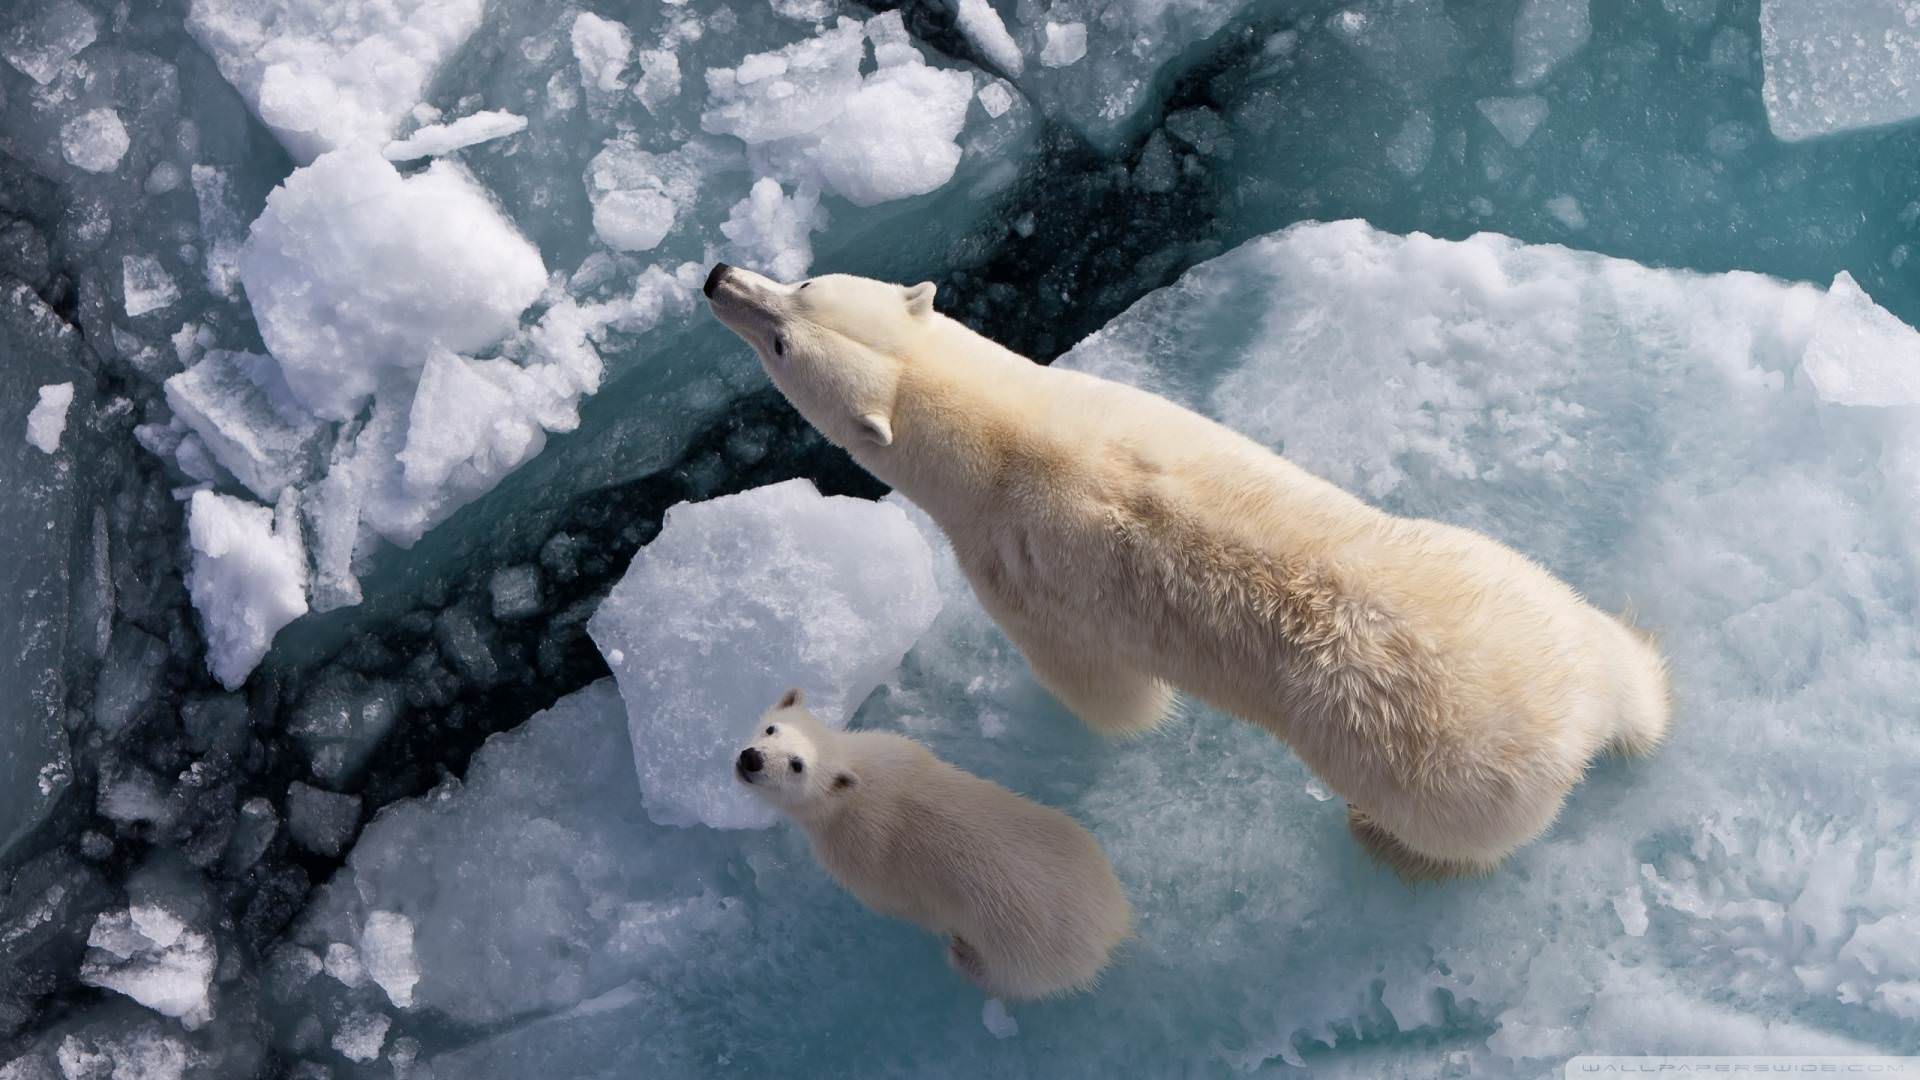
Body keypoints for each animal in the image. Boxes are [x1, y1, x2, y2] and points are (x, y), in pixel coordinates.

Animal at [706, 261, 1666, 876]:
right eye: (804, 288)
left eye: (785, 334)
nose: (718, 276)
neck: (1006, 433)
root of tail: (1575, 720)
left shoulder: (1017, 570)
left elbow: (1103, 692)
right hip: (1508, 580)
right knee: (1612, 649)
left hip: (1441, 777)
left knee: (1453, 836)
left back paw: (1379, 839)